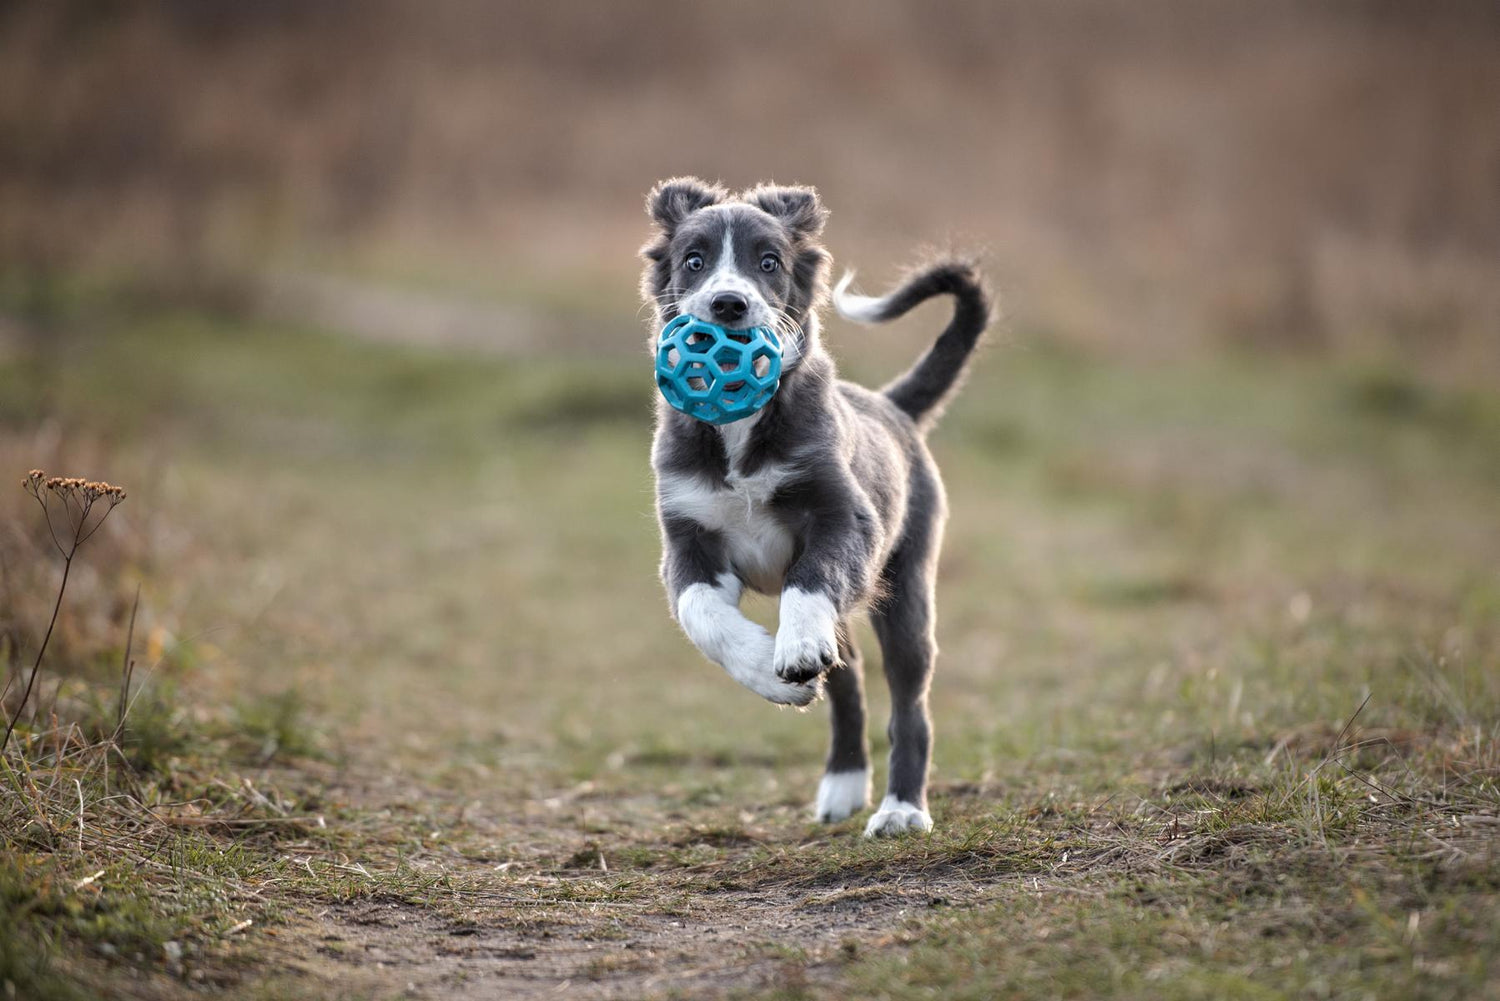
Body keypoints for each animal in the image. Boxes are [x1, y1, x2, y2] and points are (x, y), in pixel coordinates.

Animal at [639, 177, 990, 840]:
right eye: (693, 262)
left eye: (769, 262)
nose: (728, 305)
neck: (740, 429)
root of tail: (892, 406)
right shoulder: (686, 538)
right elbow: (704, 615)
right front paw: (769, 674)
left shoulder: (843, 519)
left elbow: (807, 582)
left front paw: (796, 647)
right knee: (848, 679)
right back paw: (844, 784)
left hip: (906, 586)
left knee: (909, 703)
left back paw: (901, 809)